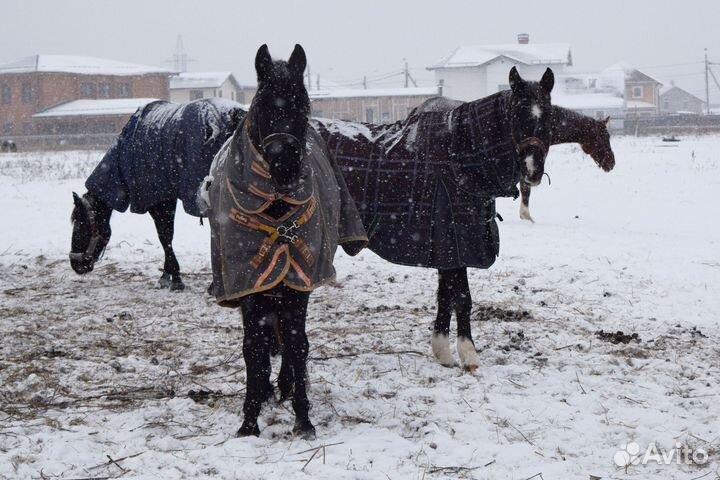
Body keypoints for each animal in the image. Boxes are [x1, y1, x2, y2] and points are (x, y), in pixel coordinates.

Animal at [70, 95, 245, 286]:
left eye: (80, 224)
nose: (75, 265)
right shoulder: (167, 196)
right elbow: (167, 234)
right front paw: (168, 273)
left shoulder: (156, 198)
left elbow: (164, 235)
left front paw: (174, 277)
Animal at [202, 45, 368, 438]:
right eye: (262, 103)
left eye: (304, 104)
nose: (285, 166)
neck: (274, 205)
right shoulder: (248, 283)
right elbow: (254, 346)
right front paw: (249, 419)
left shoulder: (298, 278)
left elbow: (296, 343)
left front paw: (303, 417)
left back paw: (286, 385)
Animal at [312, 67, 560, 370]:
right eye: (516, 113)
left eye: (548, 114)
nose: (532, 170)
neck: (458, 158)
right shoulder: (456, 241)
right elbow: (461, 297)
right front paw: (468, 353)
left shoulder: (445, 248)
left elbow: (445, 296)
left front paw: (442, 351)